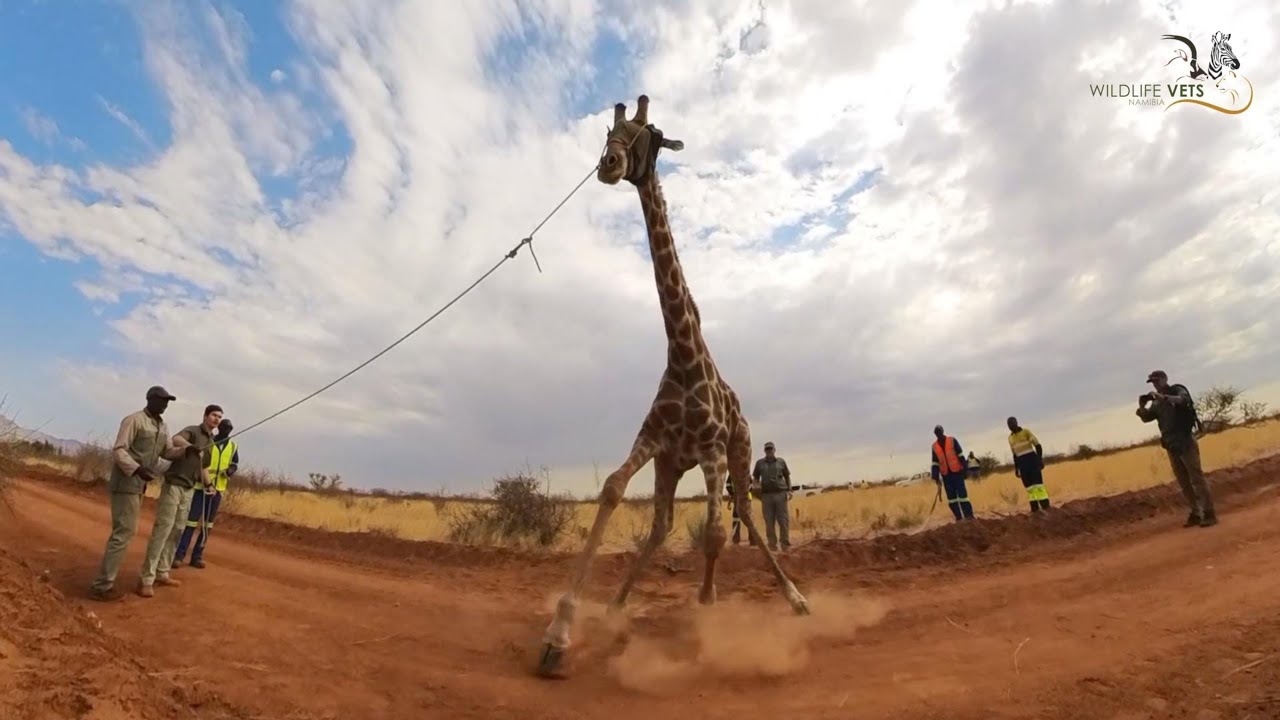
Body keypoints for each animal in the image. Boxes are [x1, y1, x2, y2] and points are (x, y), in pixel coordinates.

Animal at [536, 95, 810, 679]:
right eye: (611, 130)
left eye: (650, 133)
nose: (609, 165)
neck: (682, 355)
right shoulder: (654, 441)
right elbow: (613, 490)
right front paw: (560, 631)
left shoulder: (709, 450)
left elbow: (714, 532)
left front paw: (707, 608)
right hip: (672, 465)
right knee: (663, 525)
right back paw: (617, 605)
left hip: (737, 453)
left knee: (743, 514)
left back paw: (793, 599)